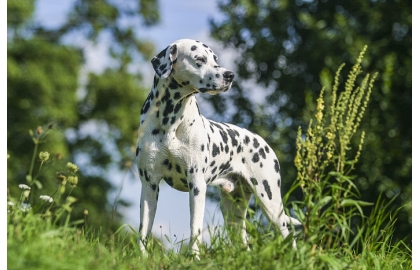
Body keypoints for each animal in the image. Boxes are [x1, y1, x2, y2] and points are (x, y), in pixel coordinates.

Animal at [136, 38, 300, 258]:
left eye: (215, 59)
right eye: (199, 59)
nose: (230, 75)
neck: (170, 120)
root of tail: (263, 143)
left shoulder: (197, 185)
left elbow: (195, 228)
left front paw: (194, 258)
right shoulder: (149, 184)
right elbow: (144, 229)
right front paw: (142, 257)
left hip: (270, 201)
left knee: (287, 232)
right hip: (233, 211)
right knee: (244, 241)